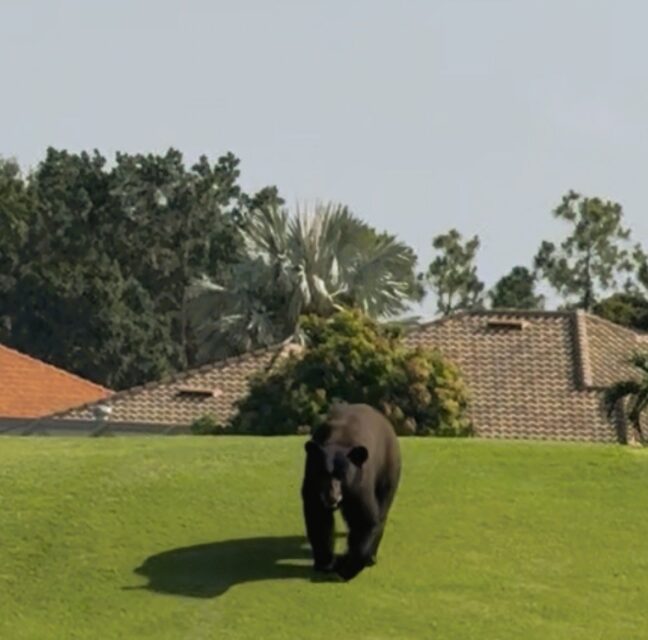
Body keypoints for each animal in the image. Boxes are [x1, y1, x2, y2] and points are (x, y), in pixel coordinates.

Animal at [300, 402, 401, 581]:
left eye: (342, 476)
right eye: (322, 473)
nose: (331, 497)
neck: (338, 440)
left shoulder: (359, 487)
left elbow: (365, 520)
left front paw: (347, 568)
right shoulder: (312, 484)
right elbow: (318, 518)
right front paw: (325, 563)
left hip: (388, 471)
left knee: (382, 511)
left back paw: (371, 557)